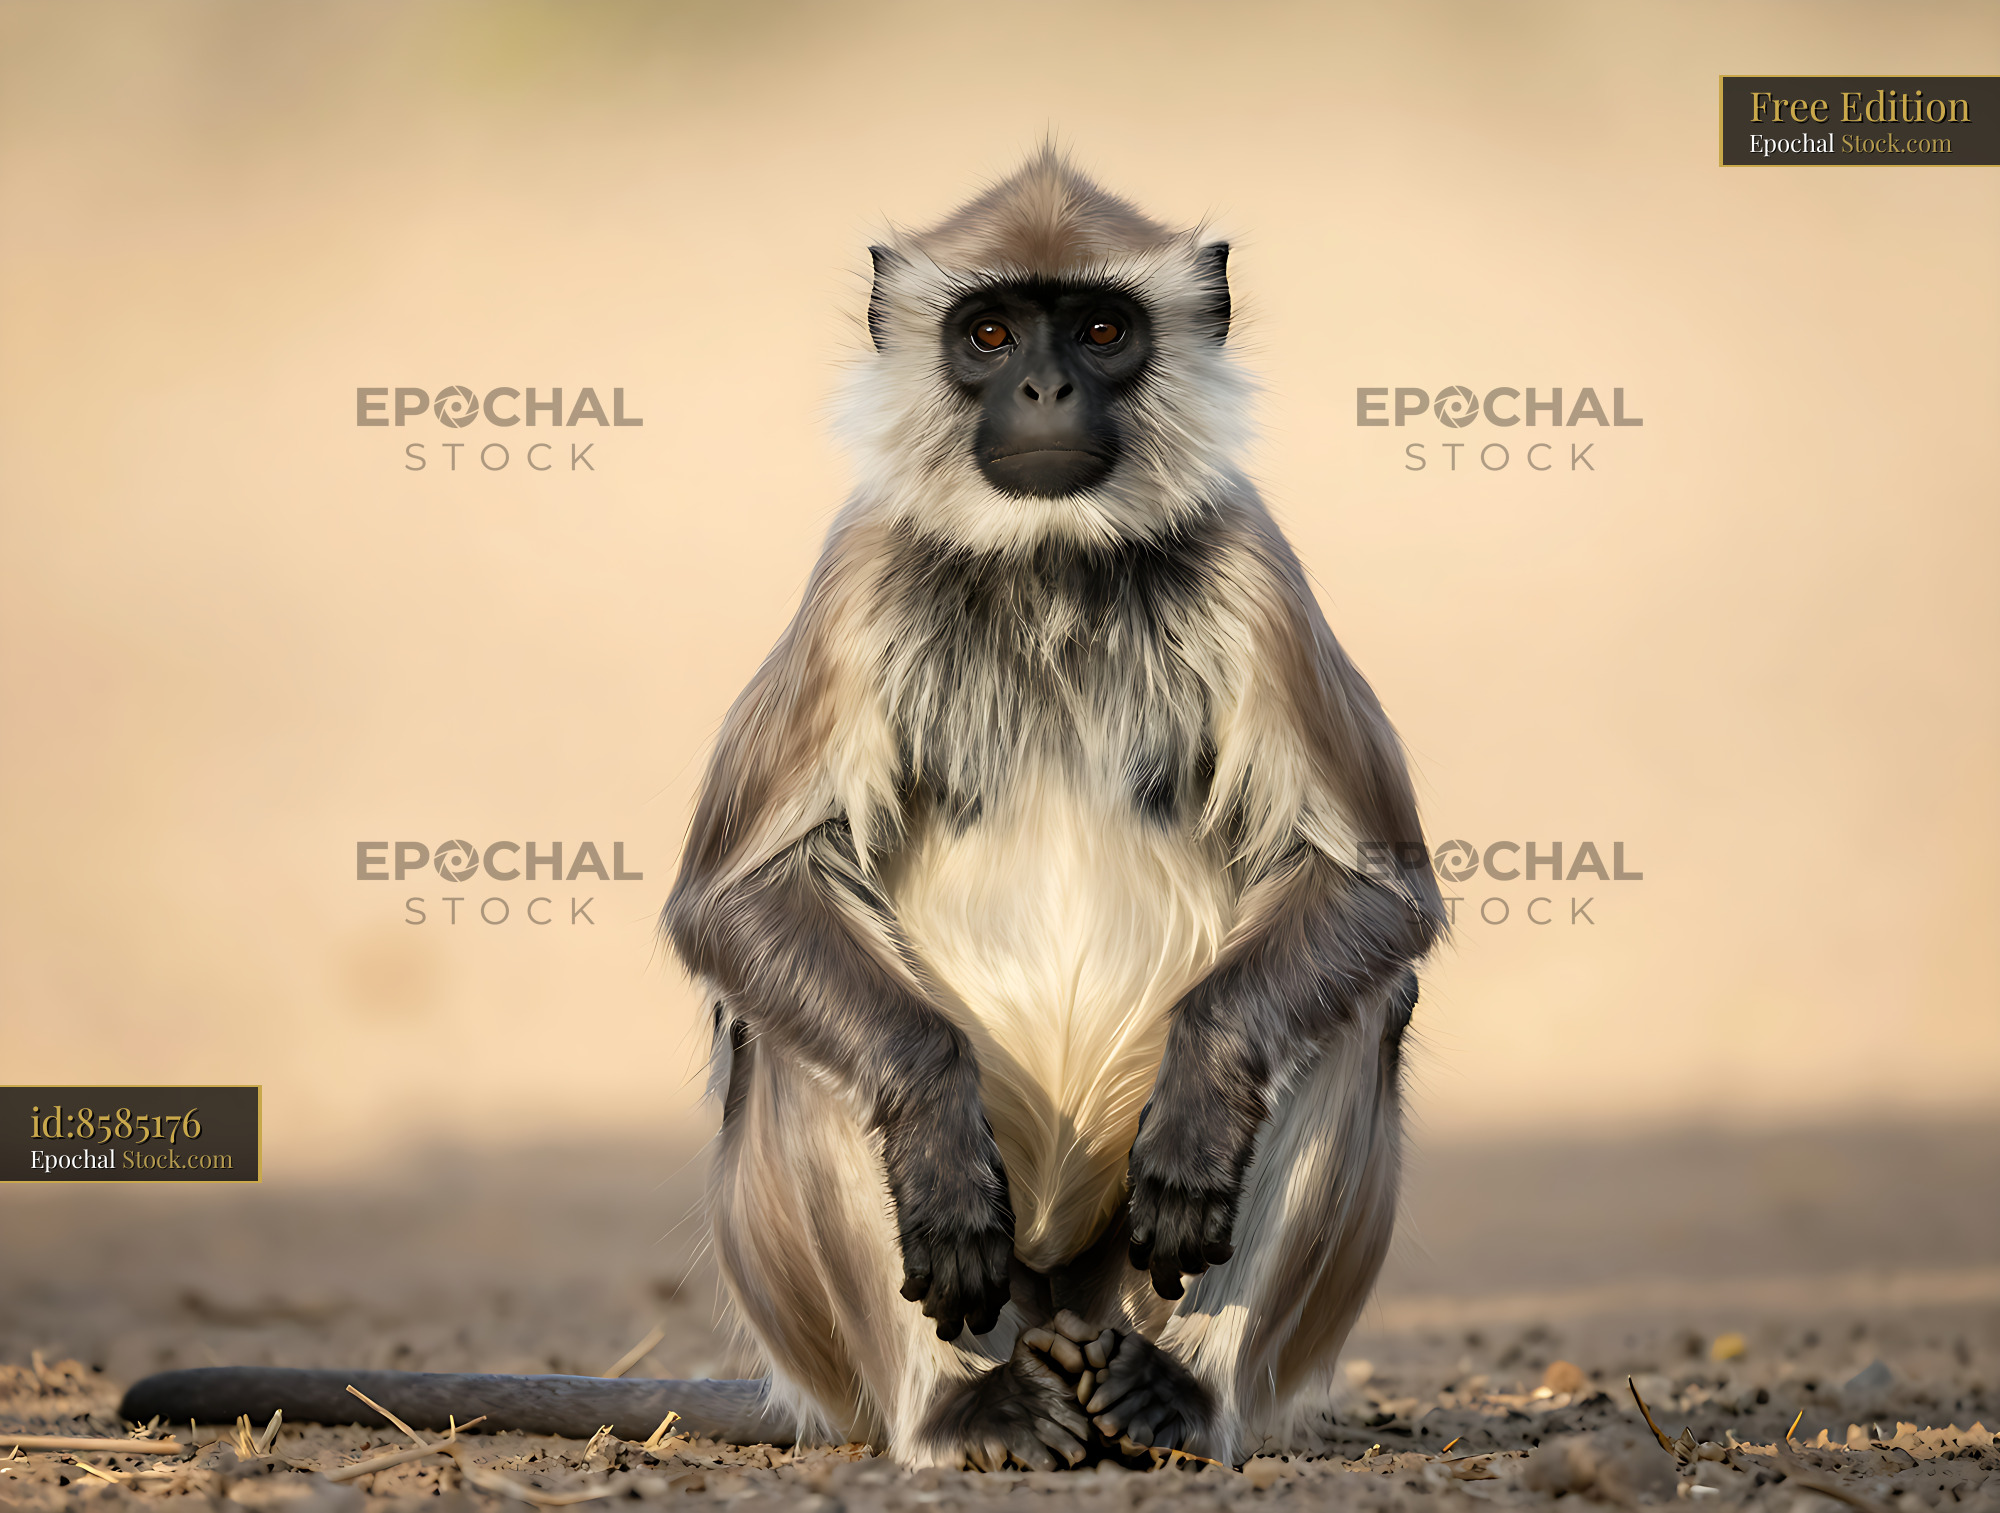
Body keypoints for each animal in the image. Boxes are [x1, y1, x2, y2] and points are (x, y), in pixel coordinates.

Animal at [121, 148, 1442, 1471]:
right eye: (990, 330)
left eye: (1103, 329)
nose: (1045, 383)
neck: (1047, 561)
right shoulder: (853, 579)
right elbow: (737, 898)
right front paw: (931, 1131)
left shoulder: (1252, 566)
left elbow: (1377, 892)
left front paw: (1201, 1106)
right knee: (798, 1047)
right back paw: (962, 1404)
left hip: (1116, 1278)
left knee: (1352, 1011)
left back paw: (1173, 1394)